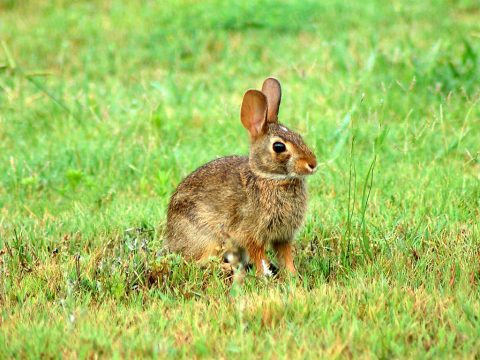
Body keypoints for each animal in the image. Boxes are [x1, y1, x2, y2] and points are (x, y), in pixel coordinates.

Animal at [164, 78, 316, 276]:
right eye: (279, 147)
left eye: (298, 136)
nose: (313, 164)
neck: (271, 178)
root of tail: (171, 239)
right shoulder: (249, 233)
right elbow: (258, 255)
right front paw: (265, 275)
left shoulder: (283, 236)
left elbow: (286, 256)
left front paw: (292, 276)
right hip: (207, 237)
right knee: (197, 262)